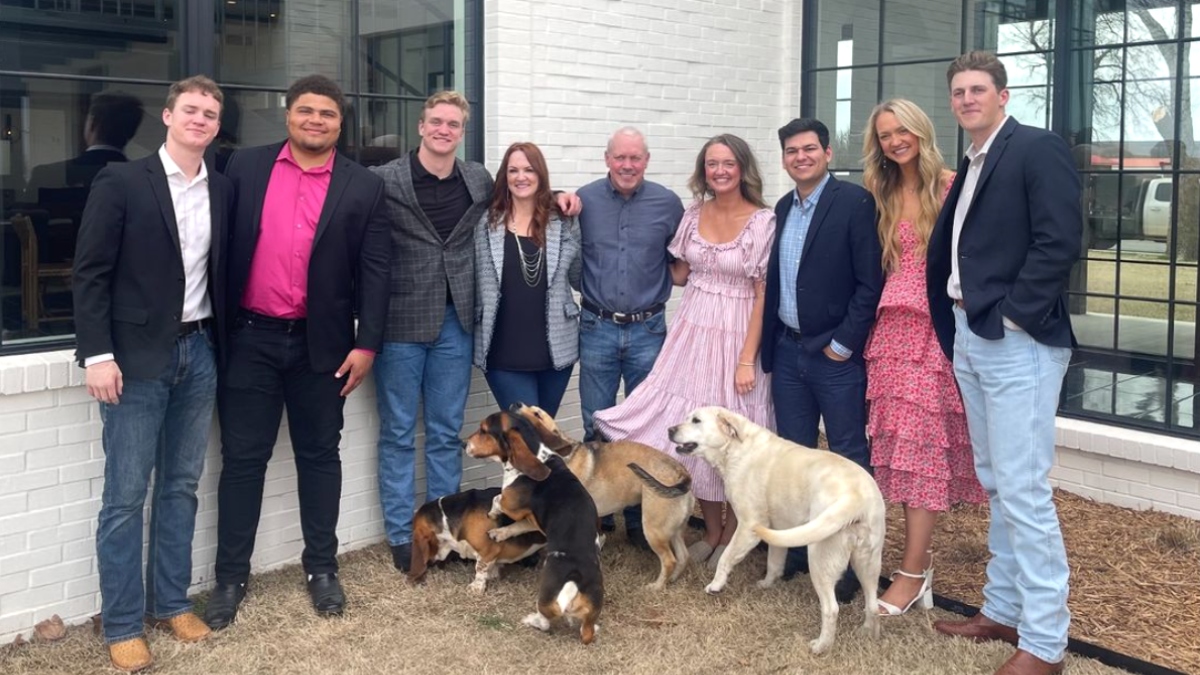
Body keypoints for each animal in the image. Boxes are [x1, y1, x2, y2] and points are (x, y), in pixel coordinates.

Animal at [667, 403, 883, 653]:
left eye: (697, 421)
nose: (669, 430)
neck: (736, 448)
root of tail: (856, 497)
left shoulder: (748, 527)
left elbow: (725, 558)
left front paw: (715, 585)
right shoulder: (779, 530)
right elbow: (774, 562)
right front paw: (767, 584)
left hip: (821, 559)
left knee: (831, 609)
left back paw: (820, 646)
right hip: (868, 562)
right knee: (873, 604)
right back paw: (869, 634)